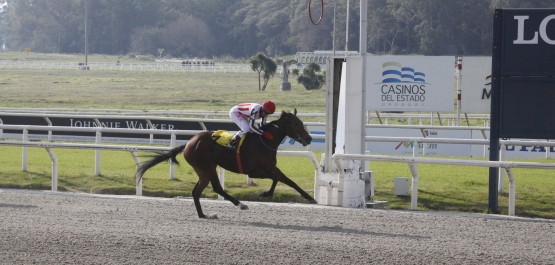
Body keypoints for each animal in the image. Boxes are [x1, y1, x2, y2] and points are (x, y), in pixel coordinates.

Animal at [135, 108, 318, 218]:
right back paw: (241, 204)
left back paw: (203, 215)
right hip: (207, 166)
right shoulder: (253, 171)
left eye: (302, 123)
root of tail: (188, 143)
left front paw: (310, 198)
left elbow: (289, 181)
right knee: (217, 188)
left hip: (203, 170)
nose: (309, 138)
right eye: (296, 123)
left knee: (196, 191)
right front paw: (265, 193)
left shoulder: (271, 167)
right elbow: (276, 179)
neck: (265, 141)